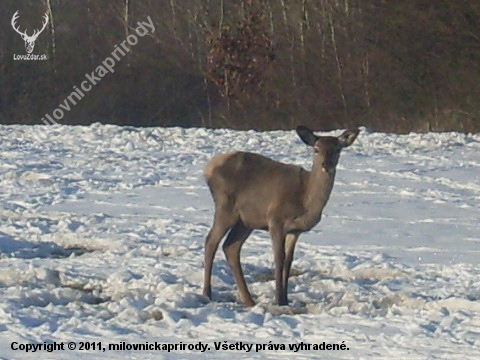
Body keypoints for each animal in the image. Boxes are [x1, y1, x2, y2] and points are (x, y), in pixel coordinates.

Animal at [201, 126, 358, 306]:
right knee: (211, 241)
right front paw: (278, 300)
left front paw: (285, 299)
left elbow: (289, 261)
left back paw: (248, 300)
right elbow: (279, 257)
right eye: (316, 149)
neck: (306, 200)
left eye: (337, 149)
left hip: (246, 220)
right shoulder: (276, 220)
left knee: (230, 246)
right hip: (225, 208)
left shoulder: (295, 230)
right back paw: (207, 294)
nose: (326, 164)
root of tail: (208, 169)